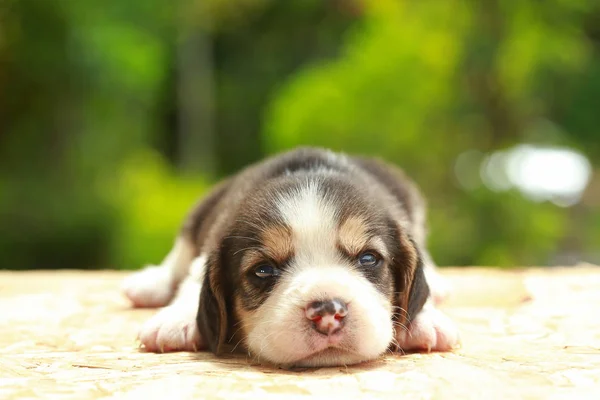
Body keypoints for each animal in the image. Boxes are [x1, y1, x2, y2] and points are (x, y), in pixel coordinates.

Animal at [122, 148, 460, 368]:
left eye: (368, 258)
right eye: (263, 270)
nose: (328, 312)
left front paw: (425, 319)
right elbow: (192, 278)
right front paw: (177, 318)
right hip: (200, 211)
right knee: (179, 255)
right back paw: (150, 283)